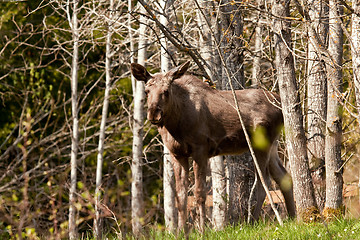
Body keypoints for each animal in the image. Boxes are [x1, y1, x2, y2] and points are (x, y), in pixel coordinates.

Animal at [131, 61, 294, 232]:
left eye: (166, 91)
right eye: (147, 91)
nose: (153, 114)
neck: (175, 125)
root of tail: (281, 106)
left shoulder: (200, 150)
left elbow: (199, 193)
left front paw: (202, 230)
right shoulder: (177, 153)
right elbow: (181, 196)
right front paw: (181, 232)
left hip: (261, 144)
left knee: (264, 182)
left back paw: (252, 222)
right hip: (273, 145)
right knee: (283, 176)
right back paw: (293, 217)